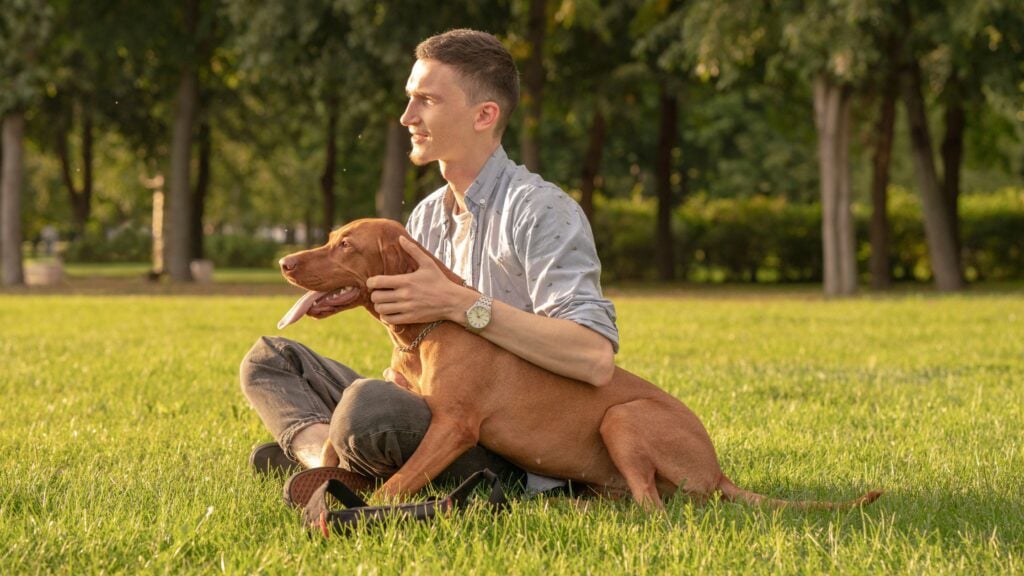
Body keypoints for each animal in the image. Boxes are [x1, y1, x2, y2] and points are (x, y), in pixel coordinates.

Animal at [278, 216, 880, 506]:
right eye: (329, 238)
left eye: (346, 246)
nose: (283, 261)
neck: (428, 329)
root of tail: (717, 470)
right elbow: (332, 450)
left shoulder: (452, 426)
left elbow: (397, 484)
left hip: (623, 417)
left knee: (654, 511)